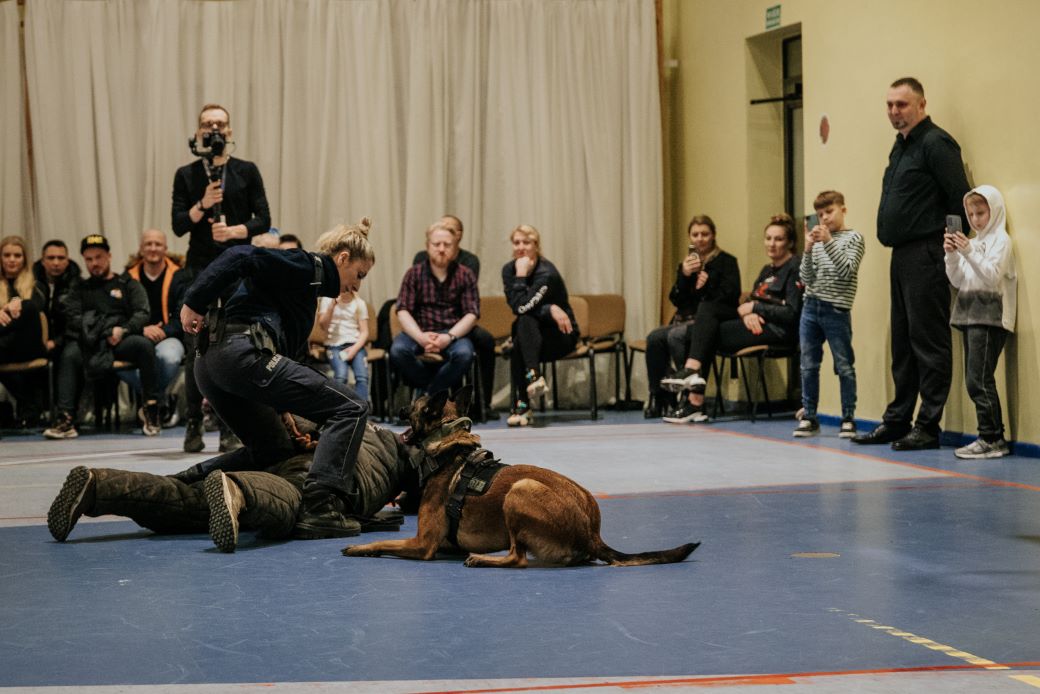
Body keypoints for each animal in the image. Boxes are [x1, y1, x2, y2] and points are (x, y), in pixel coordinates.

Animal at [343, 386, 699, 568]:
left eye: (412, 405)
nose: (396, 410)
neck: (450, 450)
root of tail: (592, 534)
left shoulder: (422, 544)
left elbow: (383, 543)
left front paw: (359, 547)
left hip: (519, 490)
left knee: (518, 558)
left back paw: (483, 559)